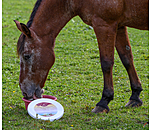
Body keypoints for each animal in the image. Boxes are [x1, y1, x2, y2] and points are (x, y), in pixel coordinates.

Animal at [14, 0, 149, 113]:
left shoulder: (104, 25)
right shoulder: (119, 25)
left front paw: (104, 102)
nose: (25, 92)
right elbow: (127, 59)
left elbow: (106, 63)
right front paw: (135, 97)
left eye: (26, 56)